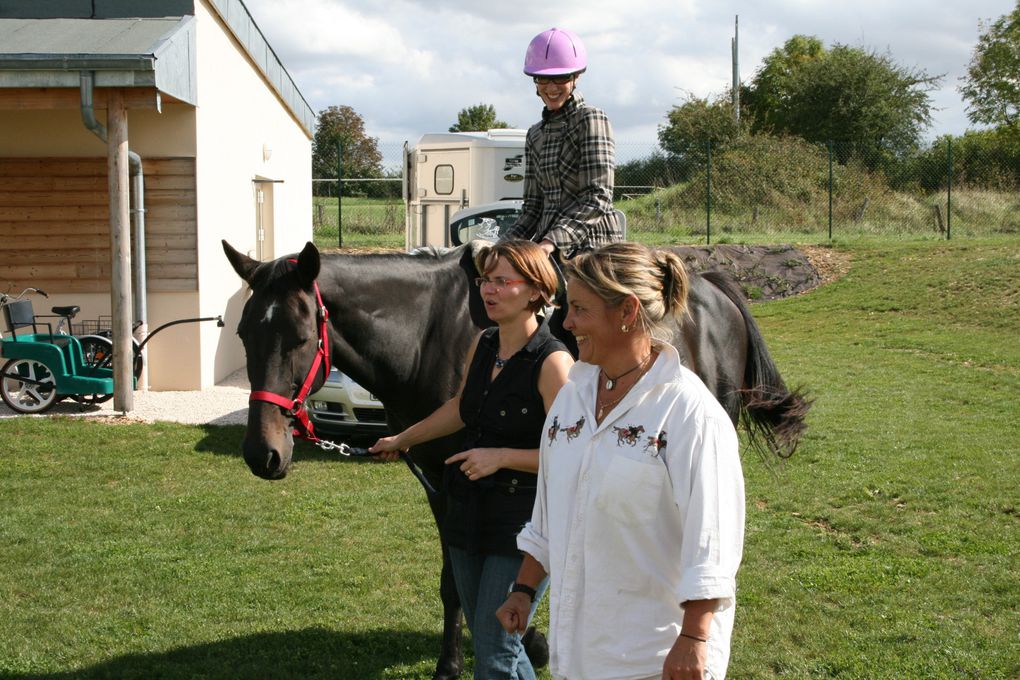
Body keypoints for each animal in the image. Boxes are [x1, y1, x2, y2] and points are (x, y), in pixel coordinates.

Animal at [225, 236, 811, 676]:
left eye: (301, 336)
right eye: (243, 333)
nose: (263, 453)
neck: (431, 335)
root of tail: (713, 285)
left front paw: (527, 639)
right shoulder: (442, 485)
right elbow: (457, 583)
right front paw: (464, 659)